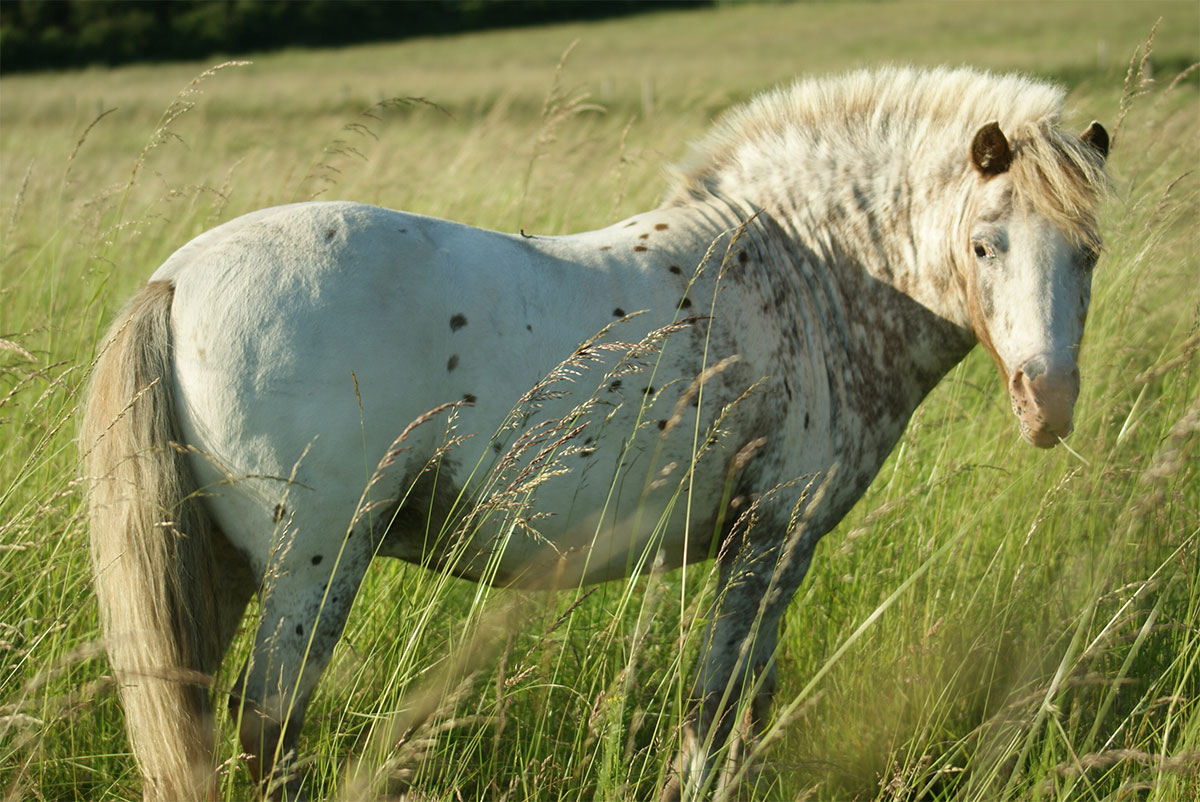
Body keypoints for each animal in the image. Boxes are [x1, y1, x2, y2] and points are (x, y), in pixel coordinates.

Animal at [82, 65, 1104, 797]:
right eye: (985, 244)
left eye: (1089, 253)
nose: (1048, 403)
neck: (809, 275)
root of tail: (175, 278)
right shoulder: (773, 538)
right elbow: (717, 701)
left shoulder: (773, 548)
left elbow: (748, 703)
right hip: (313, 565)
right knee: (270, 725)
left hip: (217, 569)